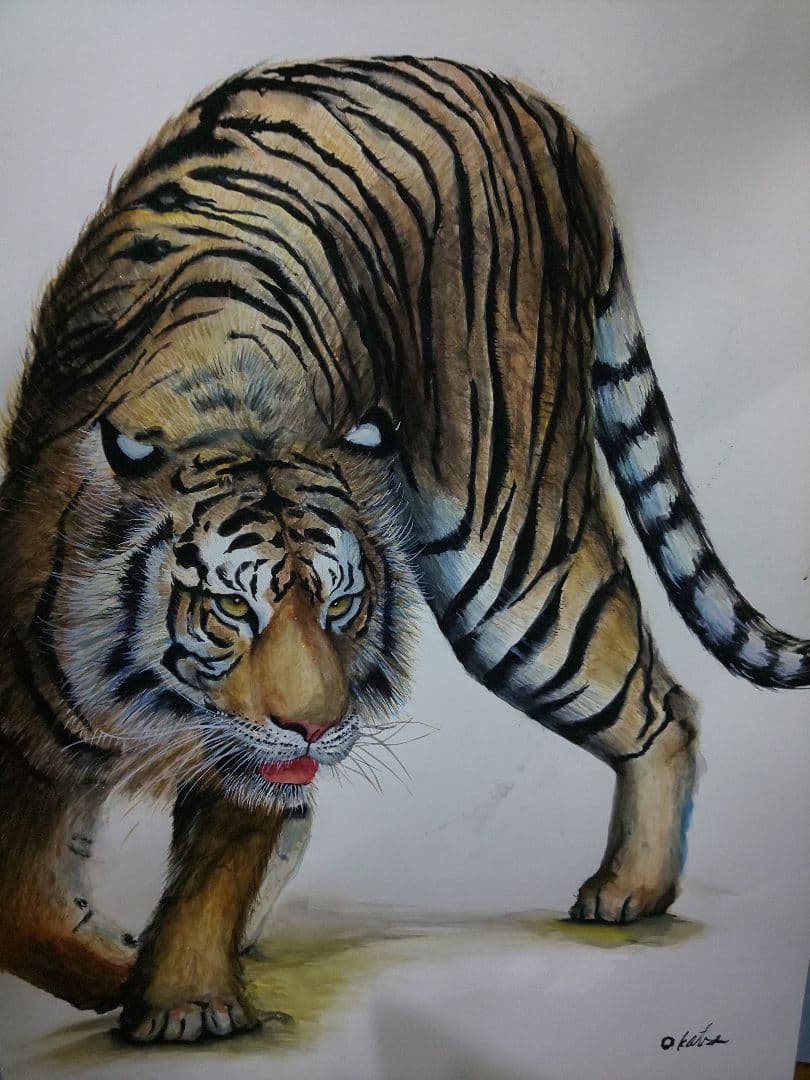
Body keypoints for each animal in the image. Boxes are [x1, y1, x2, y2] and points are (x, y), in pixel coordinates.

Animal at [0, 56, 807, 1044]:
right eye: (231, 608)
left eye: (343, 605)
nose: (315, 725)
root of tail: (530, 103)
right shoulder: (31, 722)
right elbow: (26, 908)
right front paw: (123, 967)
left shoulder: (244, 751)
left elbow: (217, 858)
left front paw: (181, 999)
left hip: (512, 563)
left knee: (663, 706)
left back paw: (630, 889)